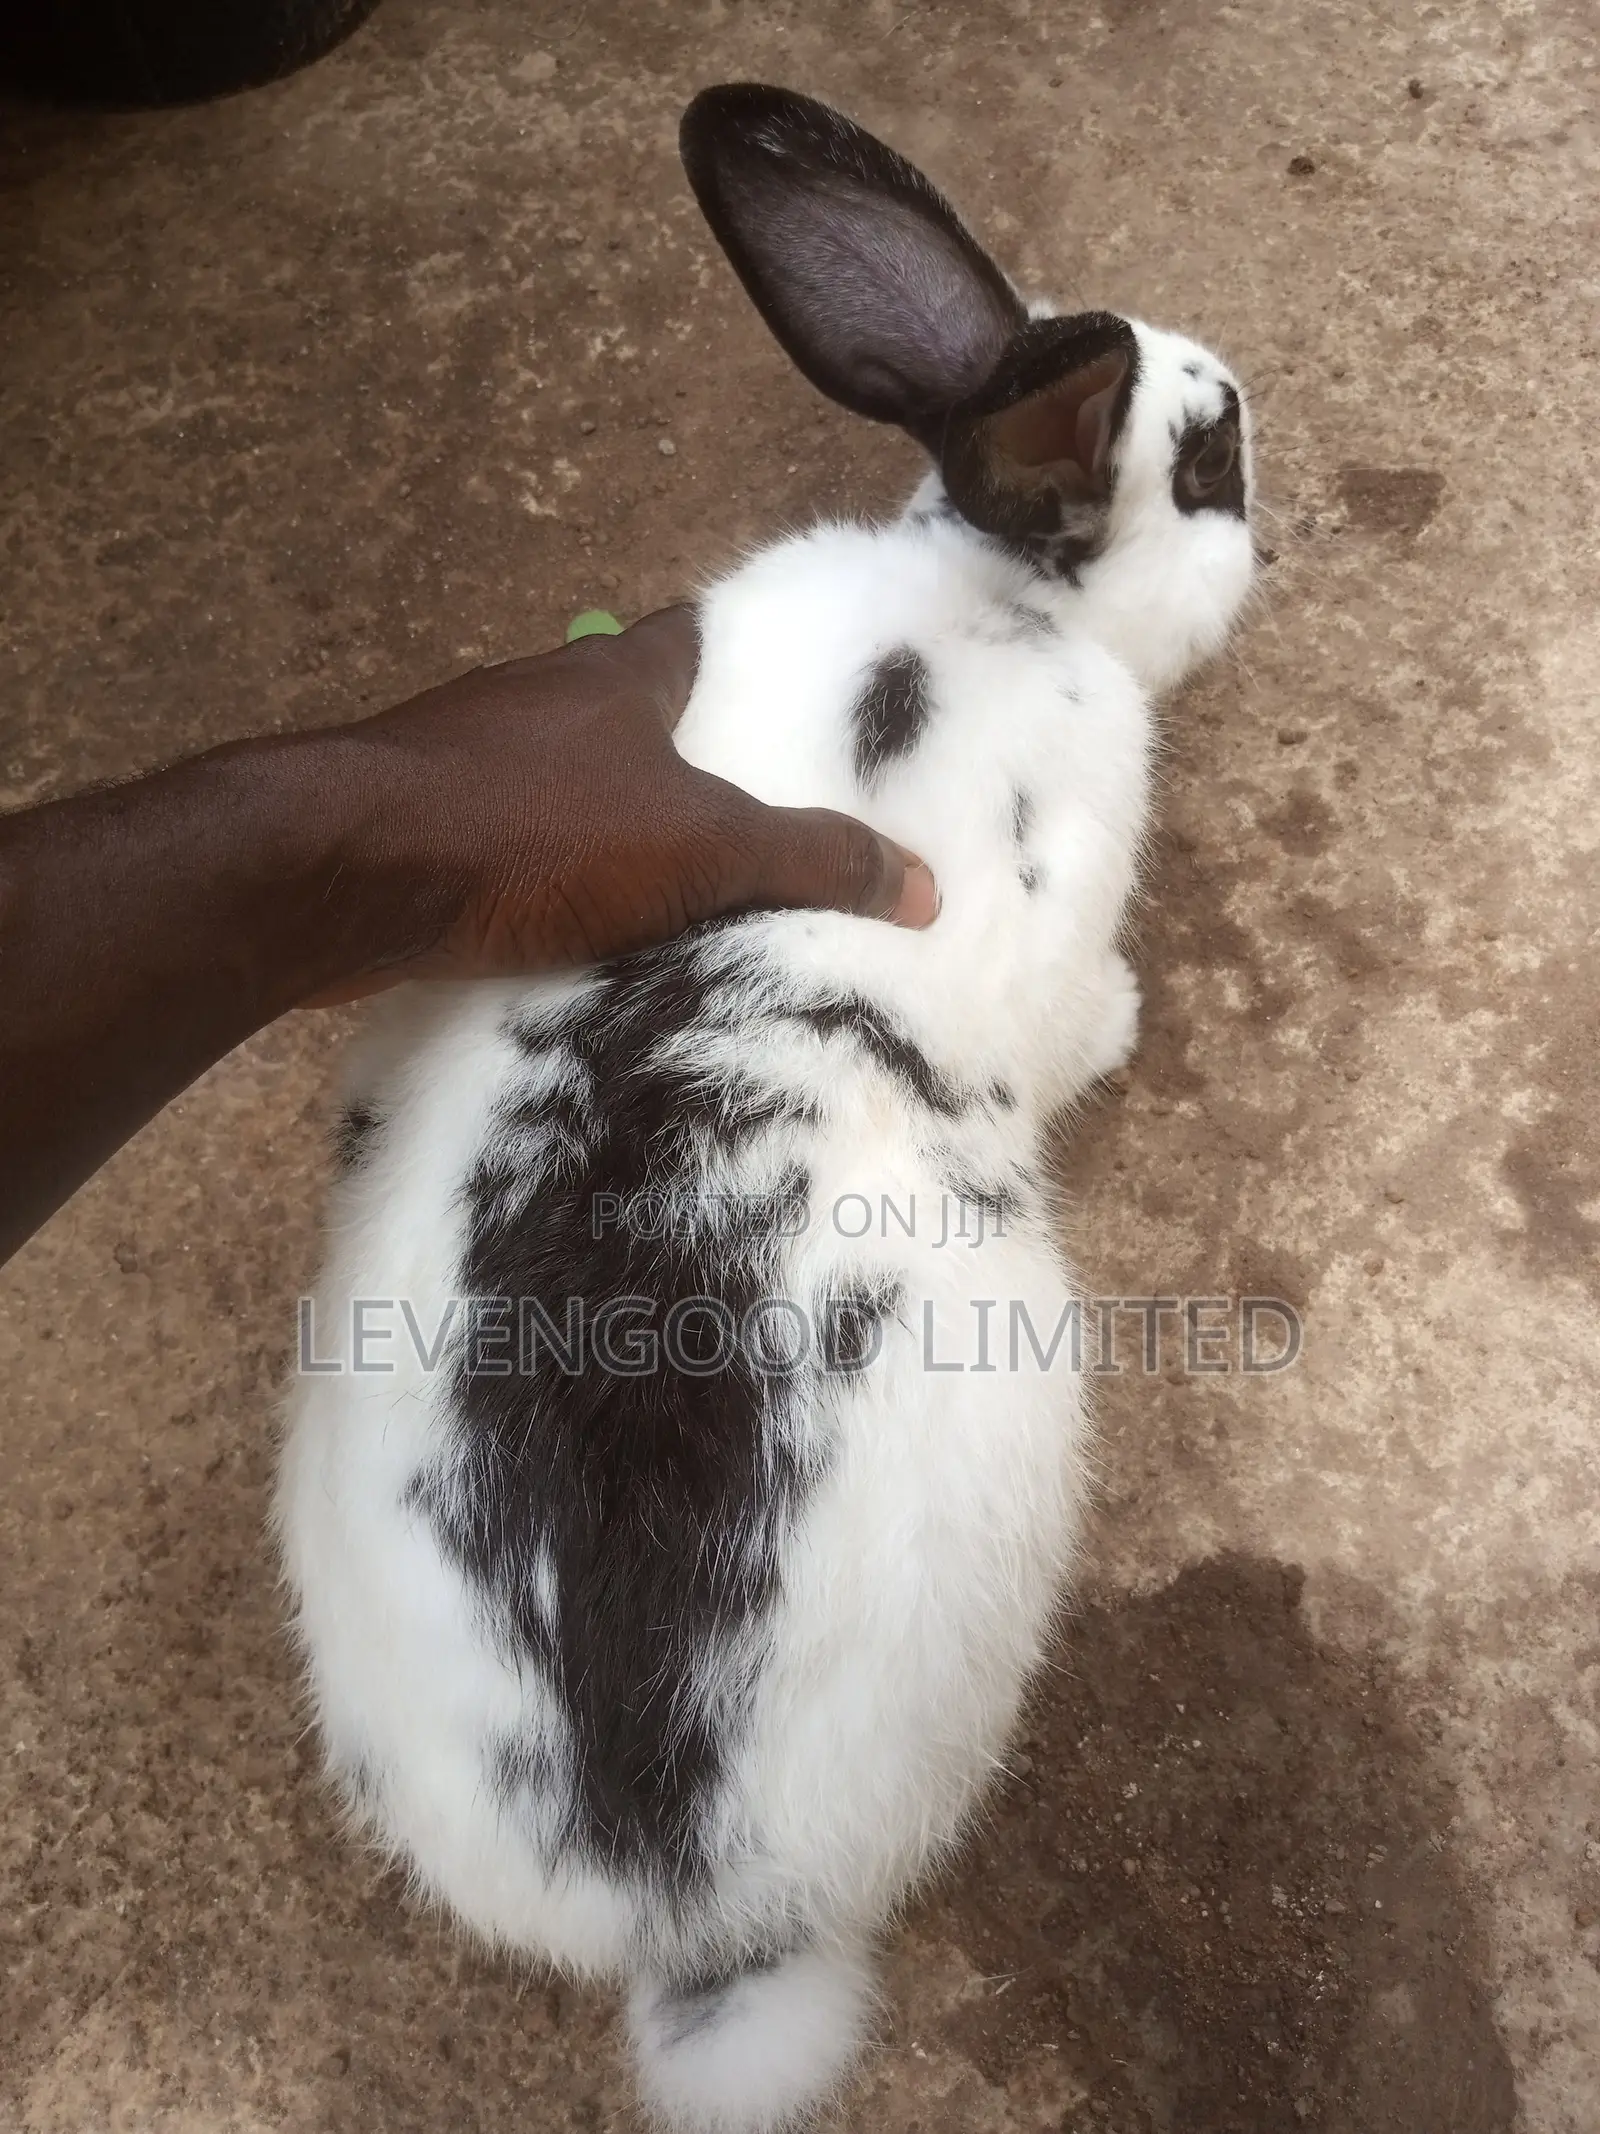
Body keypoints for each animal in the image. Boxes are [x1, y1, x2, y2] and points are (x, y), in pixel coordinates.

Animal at [277, 82, 1256, 2134]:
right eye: (1210, 461)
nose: (1261, 470)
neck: (993, 594)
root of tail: (689, 1922)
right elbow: (1074, 1011)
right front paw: (1126, 1025)